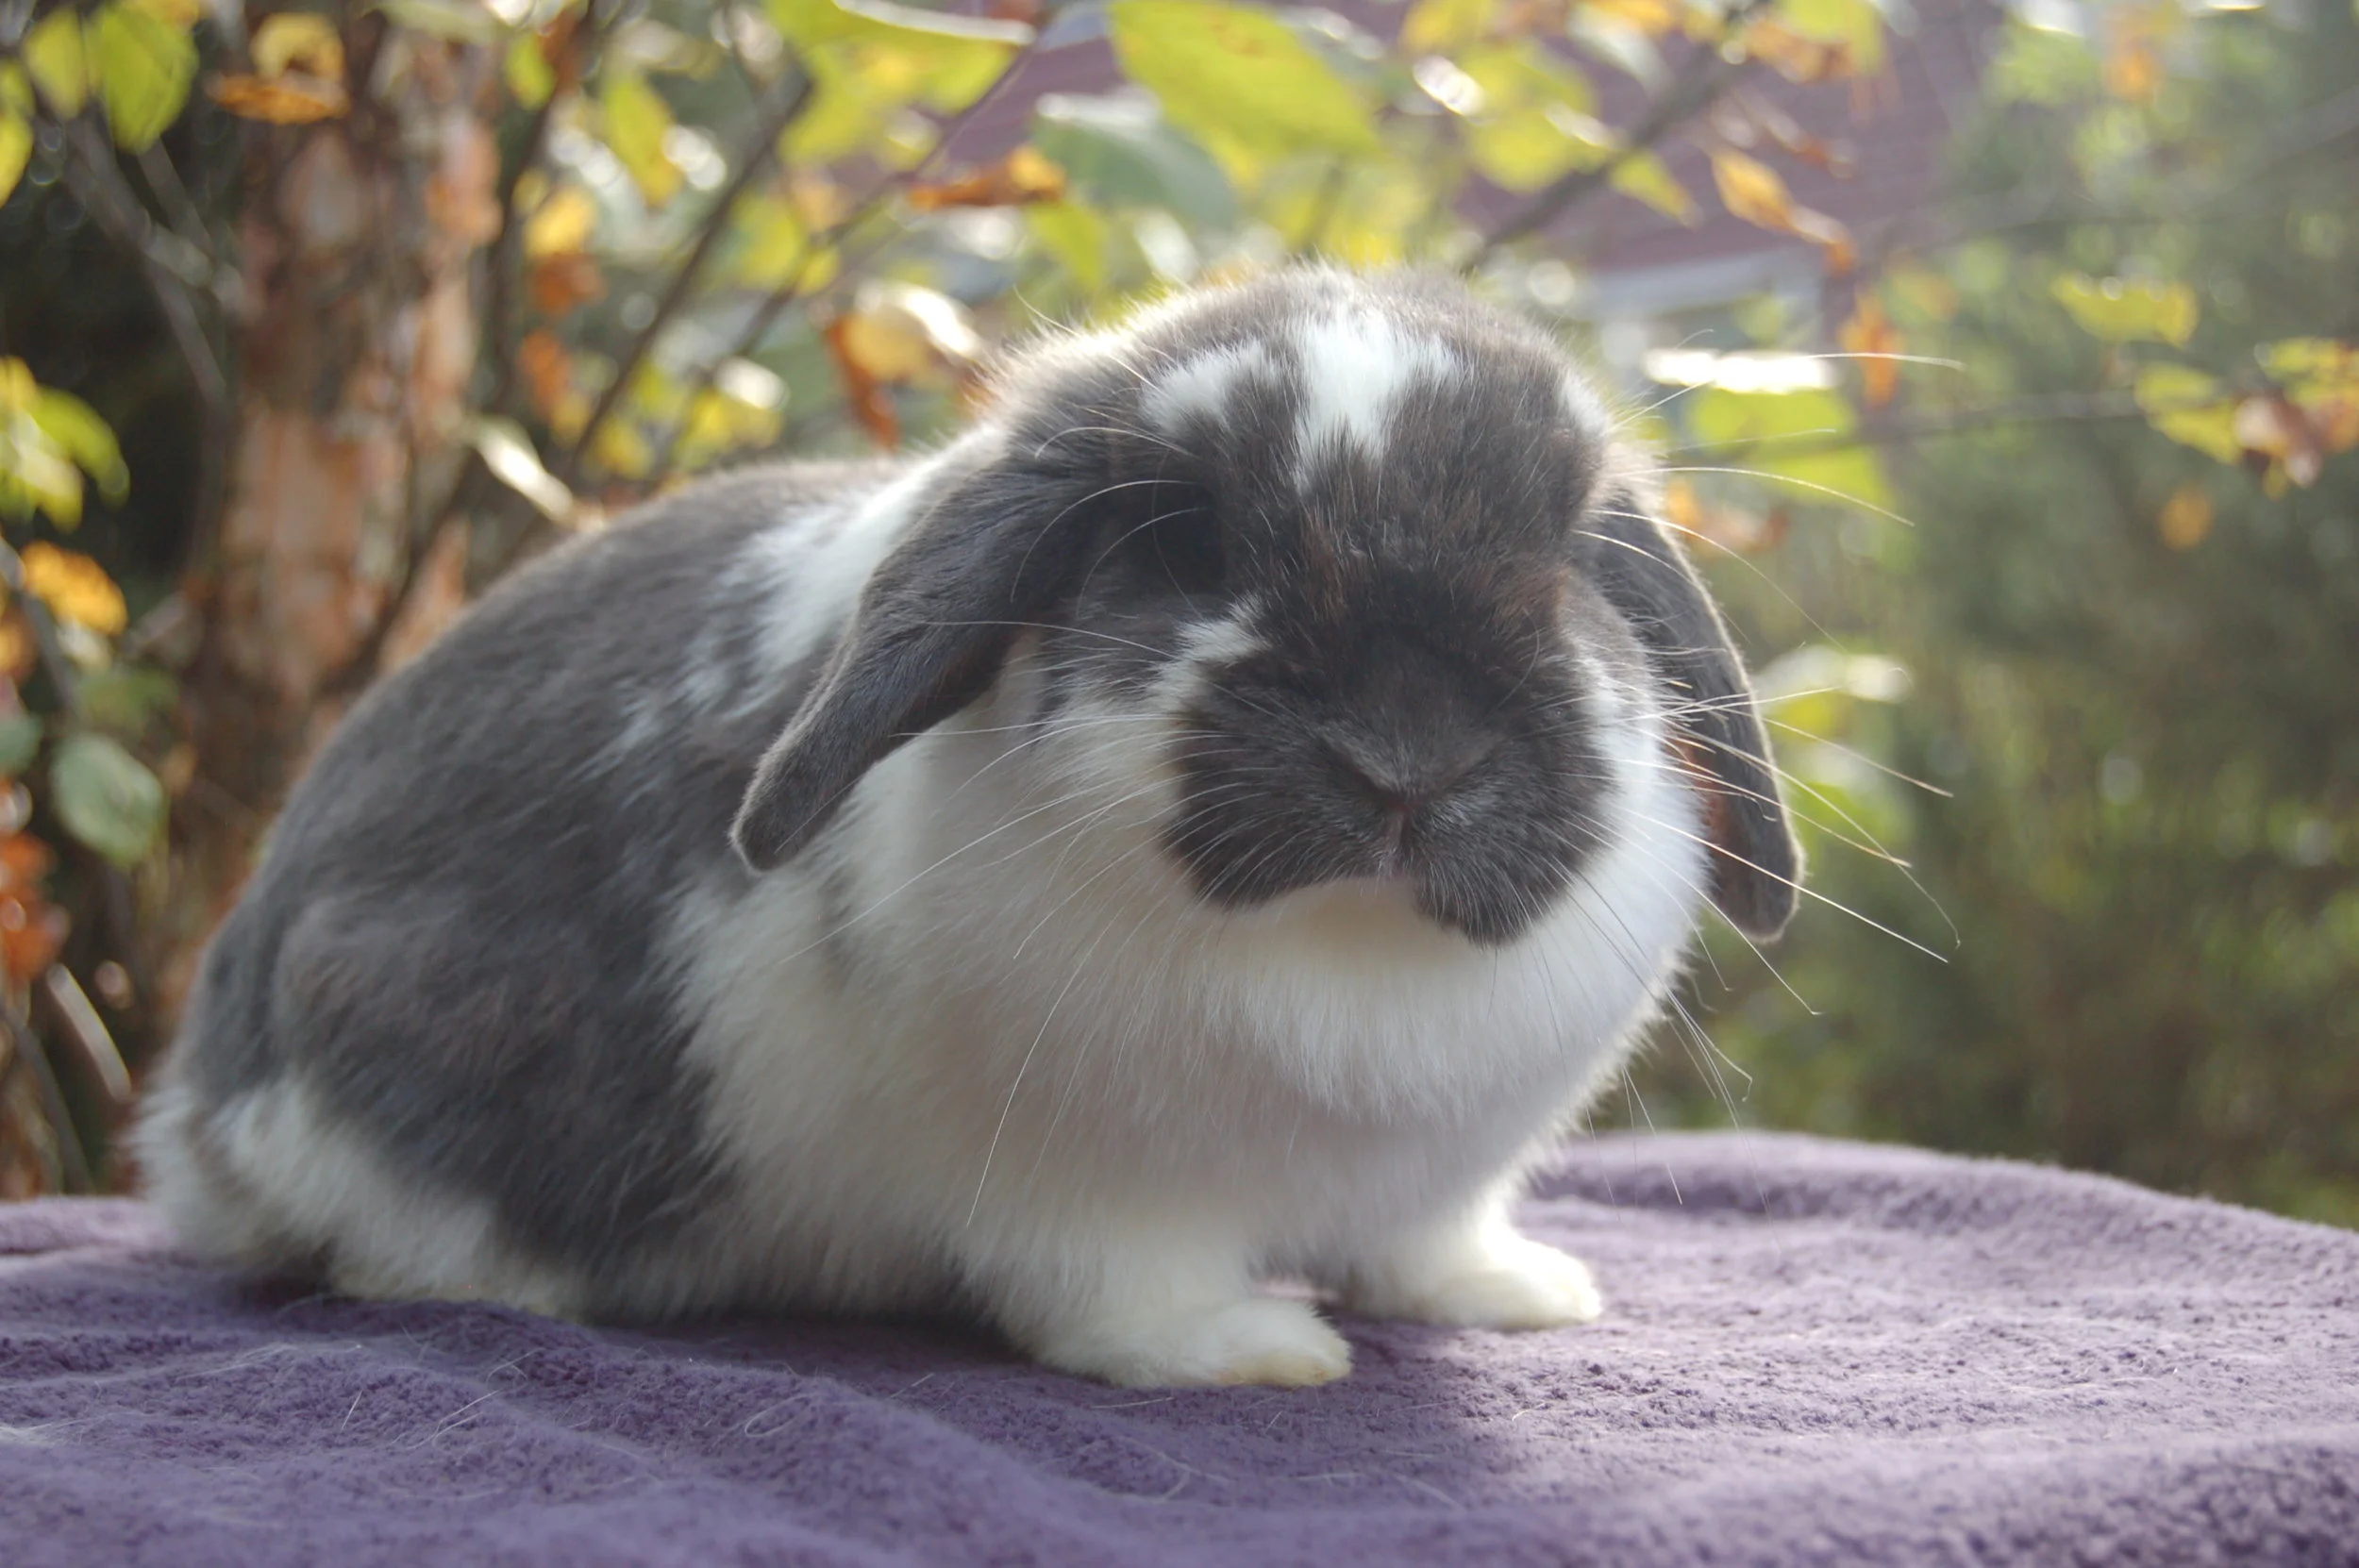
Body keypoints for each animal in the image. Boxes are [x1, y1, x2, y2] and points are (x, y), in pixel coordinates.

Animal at [135, 267, 1797, 1388]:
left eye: (1571, 554)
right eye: (1189, 545)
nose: (1407, 756)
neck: (1344, 954)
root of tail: (201, 1100)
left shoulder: (1433, 1183)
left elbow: (1429, 1244)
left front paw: (1521, 1294)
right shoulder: (1093, 1196)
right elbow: (1129, 1302)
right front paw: (1258, 1350)